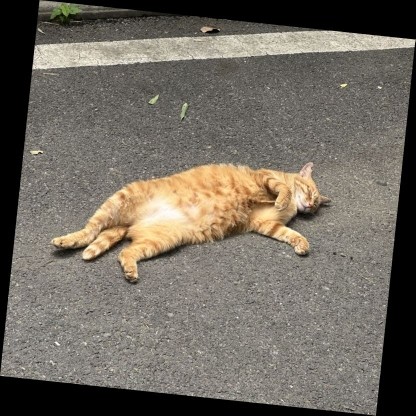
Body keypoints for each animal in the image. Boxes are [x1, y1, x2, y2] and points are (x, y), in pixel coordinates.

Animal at [52, 162, 330, 283]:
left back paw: (129, 270)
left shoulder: (267, 224)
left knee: (123, 251)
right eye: (310, 192)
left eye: (316, 203)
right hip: (118, 200)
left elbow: (290, 234)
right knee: (91, 230)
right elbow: (281, 188)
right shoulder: (264, 178)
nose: (310, 206)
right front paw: (283, 199)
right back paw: (66, 241)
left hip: (161, 240)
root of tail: (132, 223)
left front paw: (301, 243)